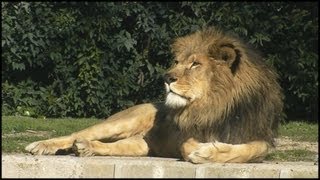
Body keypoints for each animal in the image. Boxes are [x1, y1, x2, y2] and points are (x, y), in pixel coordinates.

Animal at [26, 27, 284, 164]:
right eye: (177, 62)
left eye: (195, 64)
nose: (167, 77)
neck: (217, 104)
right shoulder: (185, 135)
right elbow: (189, 145)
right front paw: (201, 150)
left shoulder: (259, 136)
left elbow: (249, 150)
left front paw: (211, 151)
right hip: (125, 121)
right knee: (75, 134)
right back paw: (41, 145)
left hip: (139, 145)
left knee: (109, 145)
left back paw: (85, 149)